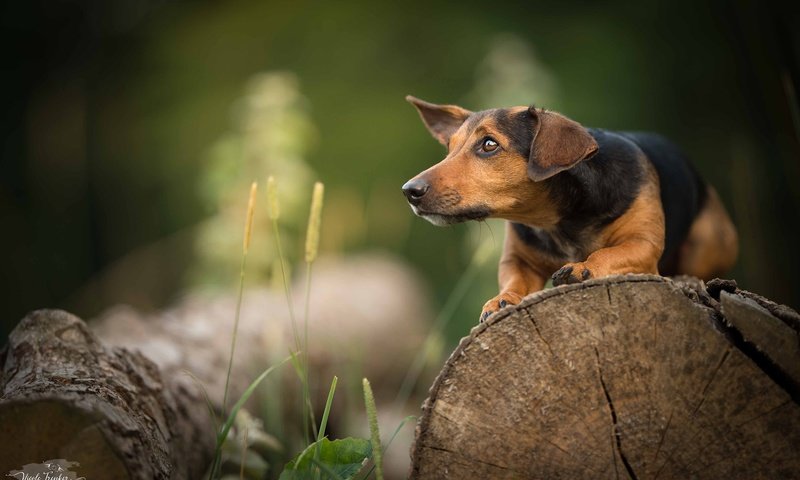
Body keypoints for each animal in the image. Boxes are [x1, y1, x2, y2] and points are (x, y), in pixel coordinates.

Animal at [404, 95, 740, 320]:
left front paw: (582, 268)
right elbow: (514, 279)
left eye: (489, 144)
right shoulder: (517, 259)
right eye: (449, 148)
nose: (410, 191)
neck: (557, 220)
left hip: (710, 241)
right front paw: (503, 299)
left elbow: (610, 253)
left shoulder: (644, 244)